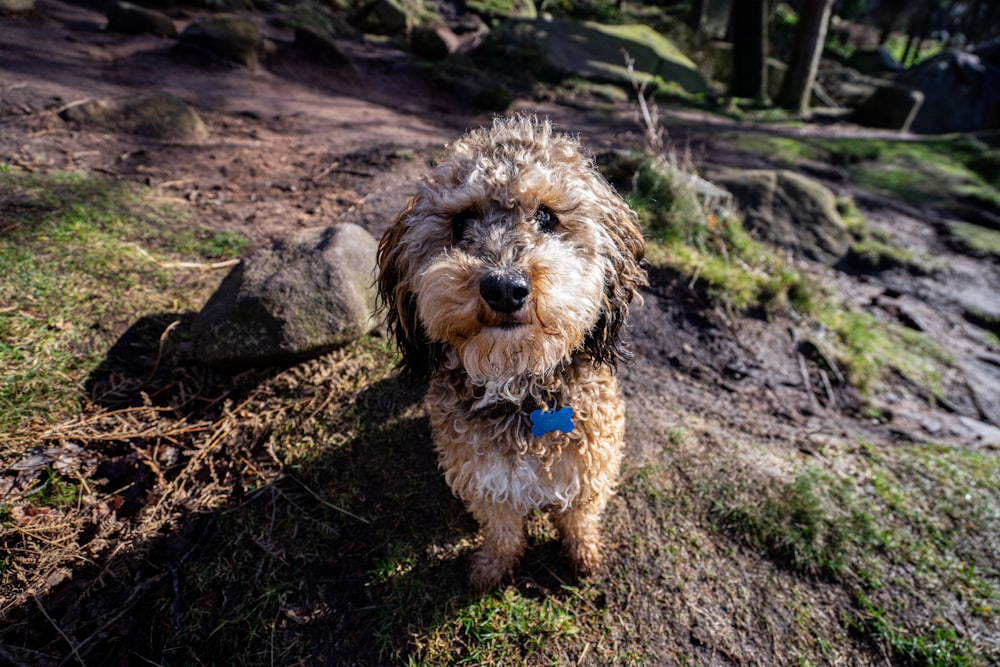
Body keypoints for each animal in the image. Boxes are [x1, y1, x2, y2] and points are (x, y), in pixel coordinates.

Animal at [376, 115, 648, 588]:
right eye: (462, 221)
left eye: (545, 216)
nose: (504, 288)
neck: (522, 390)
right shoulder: (486, 480)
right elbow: (501, 530)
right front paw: (492, 568)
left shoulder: (591, 468)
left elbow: (579, 518)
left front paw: (583, 555)